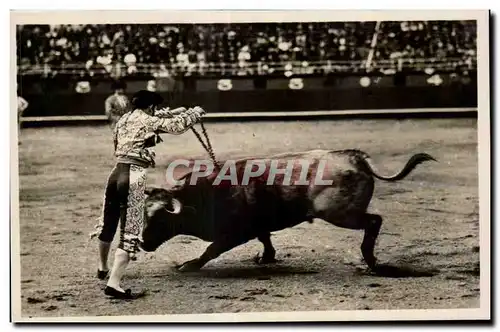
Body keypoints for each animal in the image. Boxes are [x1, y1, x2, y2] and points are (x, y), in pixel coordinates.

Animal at [139, 150, 436, 272]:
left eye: (161, 220)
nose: (142, 243)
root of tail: (355, 157)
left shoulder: (235, 233)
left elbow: (211, 250)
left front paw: (189, 265)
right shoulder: (257, 226)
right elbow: (265, 237)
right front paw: (266, 257)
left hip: (338, 213)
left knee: (374, 221)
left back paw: (371, 260)